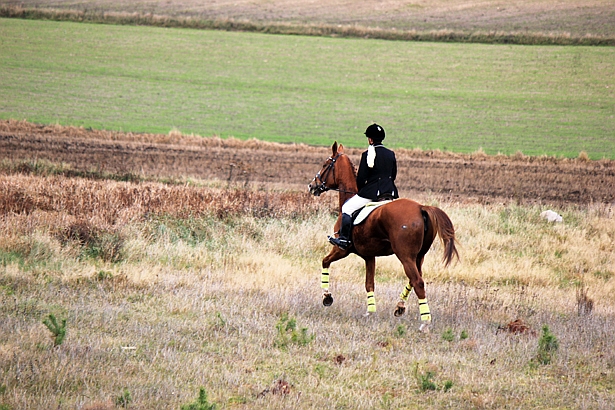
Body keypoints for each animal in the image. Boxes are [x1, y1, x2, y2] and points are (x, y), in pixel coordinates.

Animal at [308, 142, 458, 332]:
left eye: (325, 164)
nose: (312, 186)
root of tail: (421, 208)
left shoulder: (341, 249)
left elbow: (325, 262)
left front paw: (327, 297)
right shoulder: (369, 256)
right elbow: (369, 283)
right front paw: (370, 311)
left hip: (404, 255)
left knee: (418, 282)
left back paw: (425, 321)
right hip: (418, 256)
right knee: (414, 279)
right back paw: (400, 307)